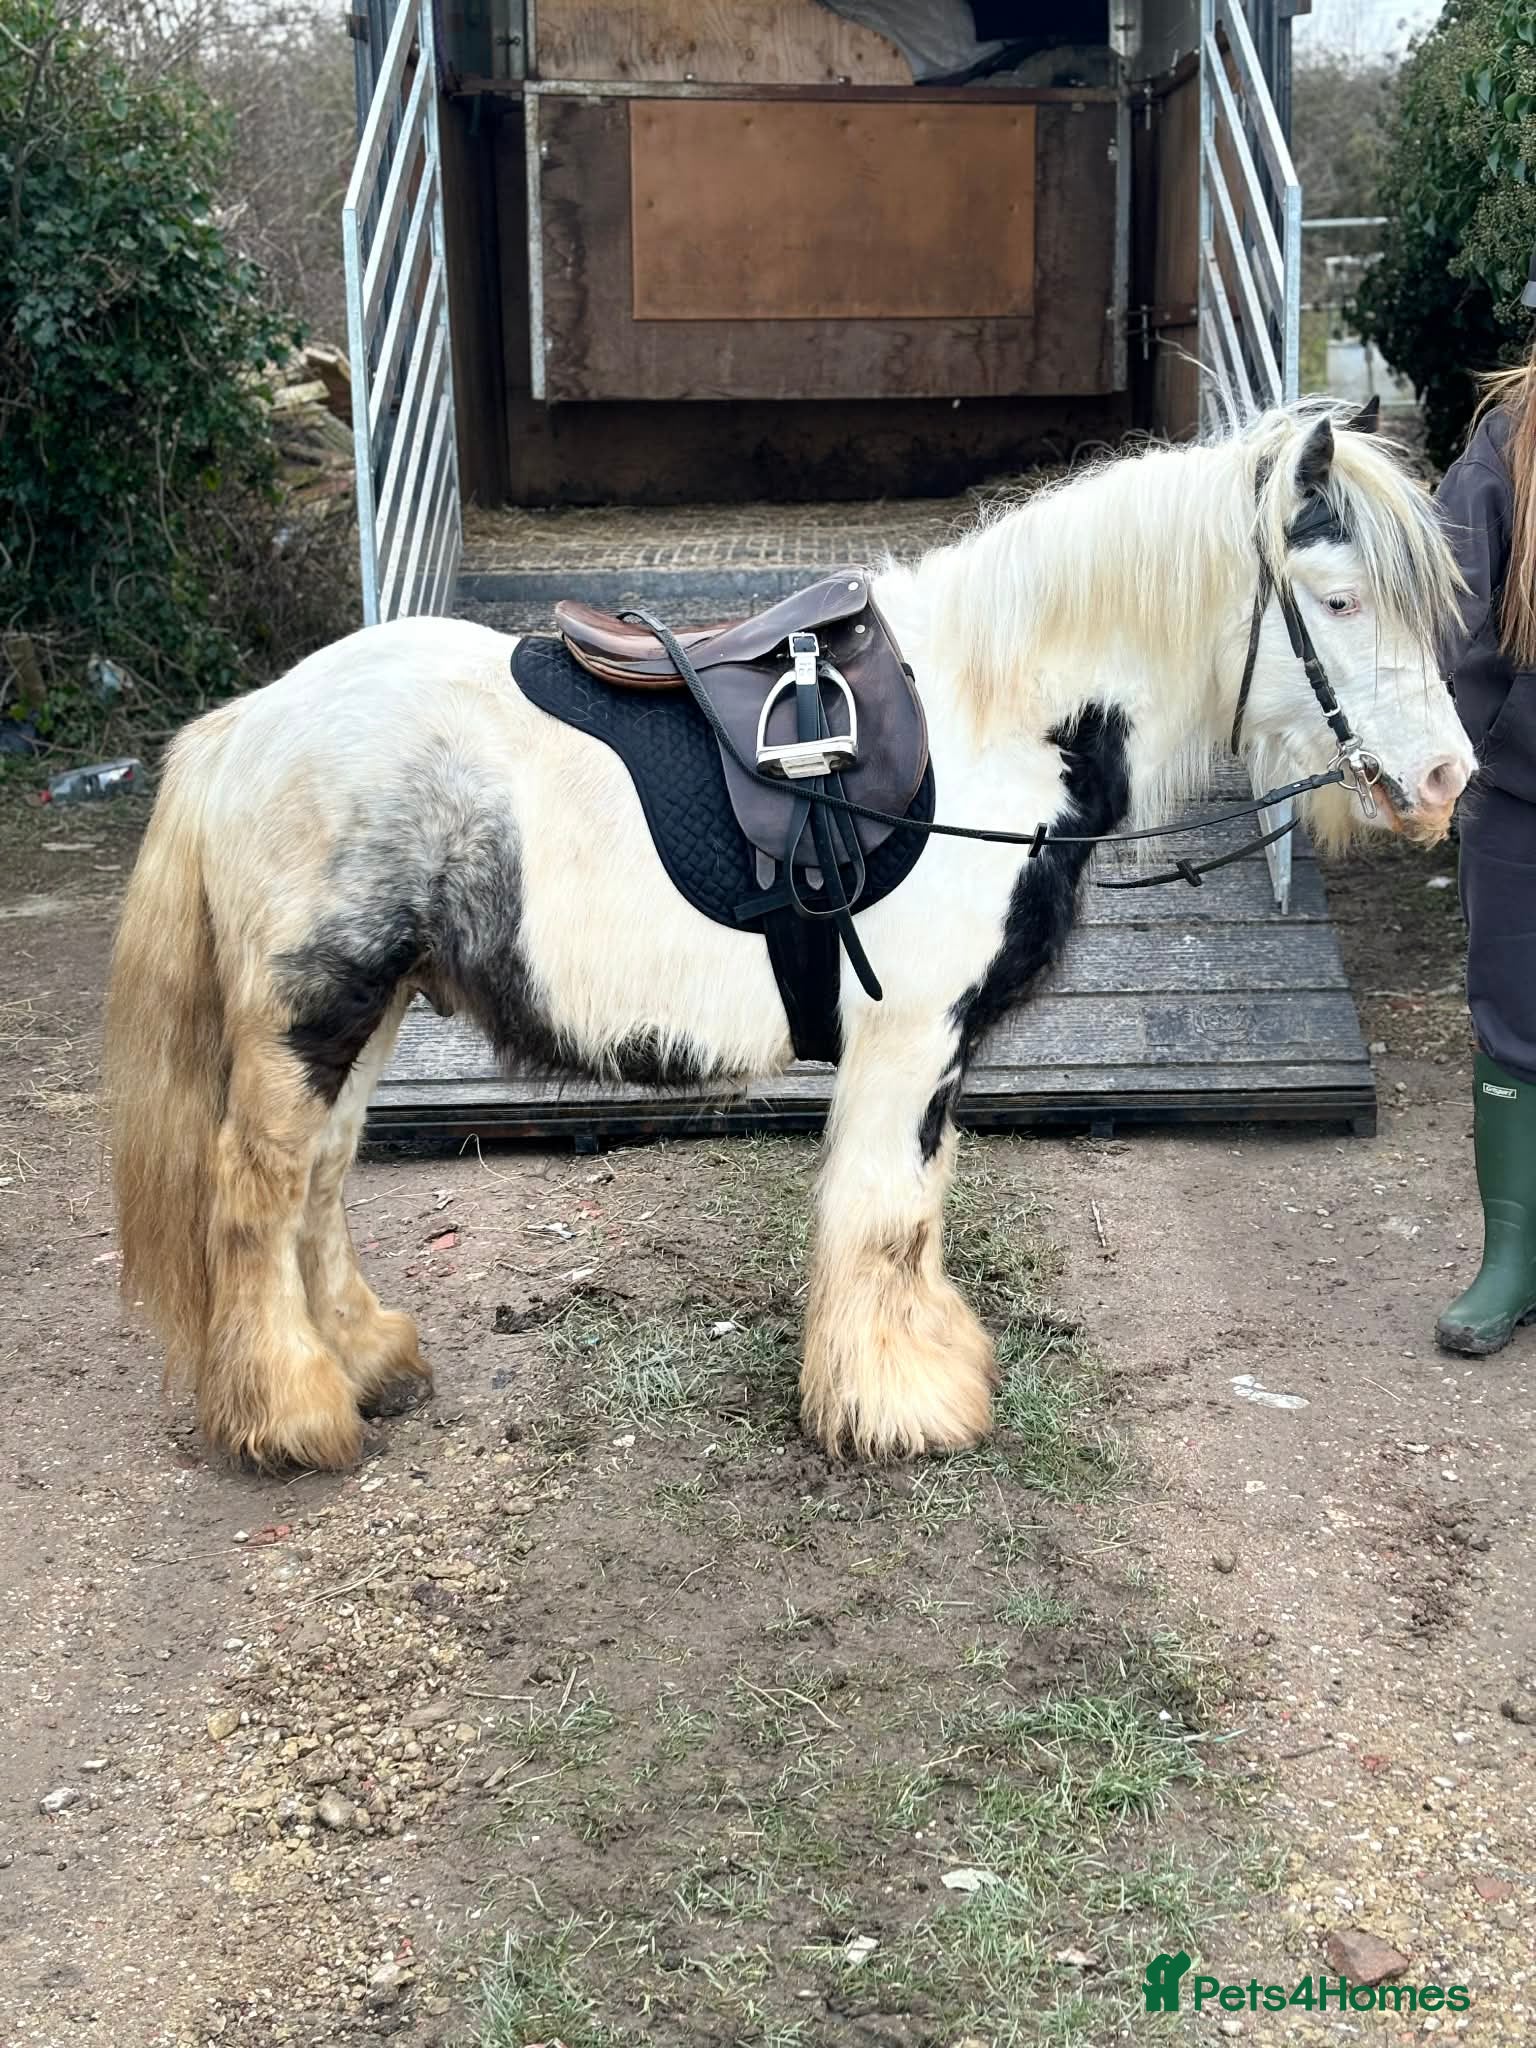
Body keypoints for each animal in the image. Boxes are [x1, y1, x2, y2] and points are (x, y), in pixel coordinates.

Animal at [103, 400, 1475, 1473]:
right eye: (1339, 599)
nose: (1446, 779)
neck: (993, 717)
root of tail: (251, 720)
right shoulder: (907, 1037)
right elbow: (882, 1211)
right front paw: (896, 1404)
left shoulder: (936, 1049)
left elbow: (917, 1205)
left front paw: (925, 1363)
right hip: (315, 1011)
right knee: (257, 1188)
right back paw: (292, 1412)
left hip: (370, 1005)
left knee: (323, 1178)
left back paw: (368, 1359)